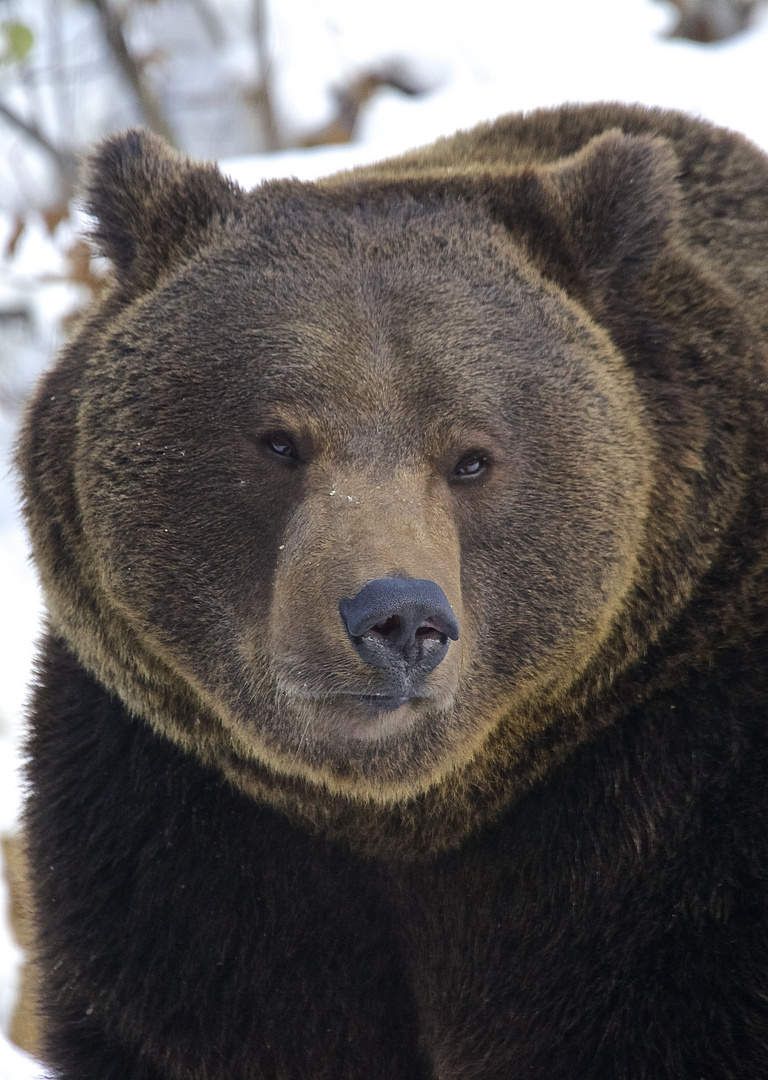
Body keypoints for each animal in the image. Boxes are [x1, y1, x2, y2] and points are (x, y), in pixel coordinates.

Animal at [18, 107, 768, 1080]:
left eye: (473, 456)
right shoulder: (175, 831)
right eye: (279, 440)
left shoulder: (672, 820)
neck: (406, 817)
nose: (397, 618)